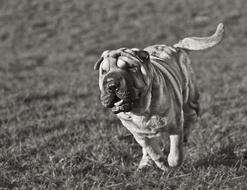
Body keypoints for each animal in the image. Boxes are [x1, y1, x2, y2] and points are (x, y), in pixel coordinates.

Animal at [93, 23, 224, 171]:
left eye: (131, 68)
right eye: (104, 71)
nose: (112, 84)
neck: (142, 111)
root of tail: (176, 47)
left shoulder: (175, 125)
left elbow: (176, 151)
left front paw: (172, 163)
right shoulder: (140, 135)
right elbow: (153, 151)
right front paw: (162, 165)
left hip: (189, 96)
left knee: (191, 115)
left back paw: (186, 133)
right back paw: (145, 163)